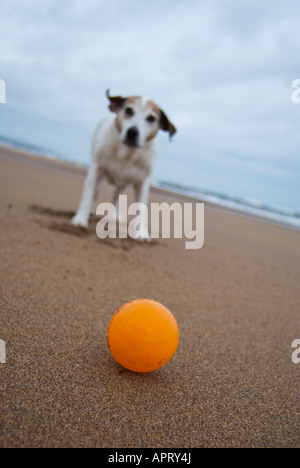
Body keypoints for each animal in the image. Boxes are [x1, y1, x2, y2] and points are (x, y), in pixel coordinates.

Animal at [71, 90, 177, 239]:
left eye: (151, 118)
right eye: (129, 110)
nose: (132, 132)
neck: (127, 154)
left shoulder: (143, 182)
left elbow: (142, 208)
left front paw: (142, 233)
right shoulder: (96, 168)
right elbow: (87, 195)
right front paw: (80, 220)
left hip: (122, 184)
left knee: (116, 196)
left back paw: (115, 216)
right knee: (95, 192)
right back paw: (91, 212)